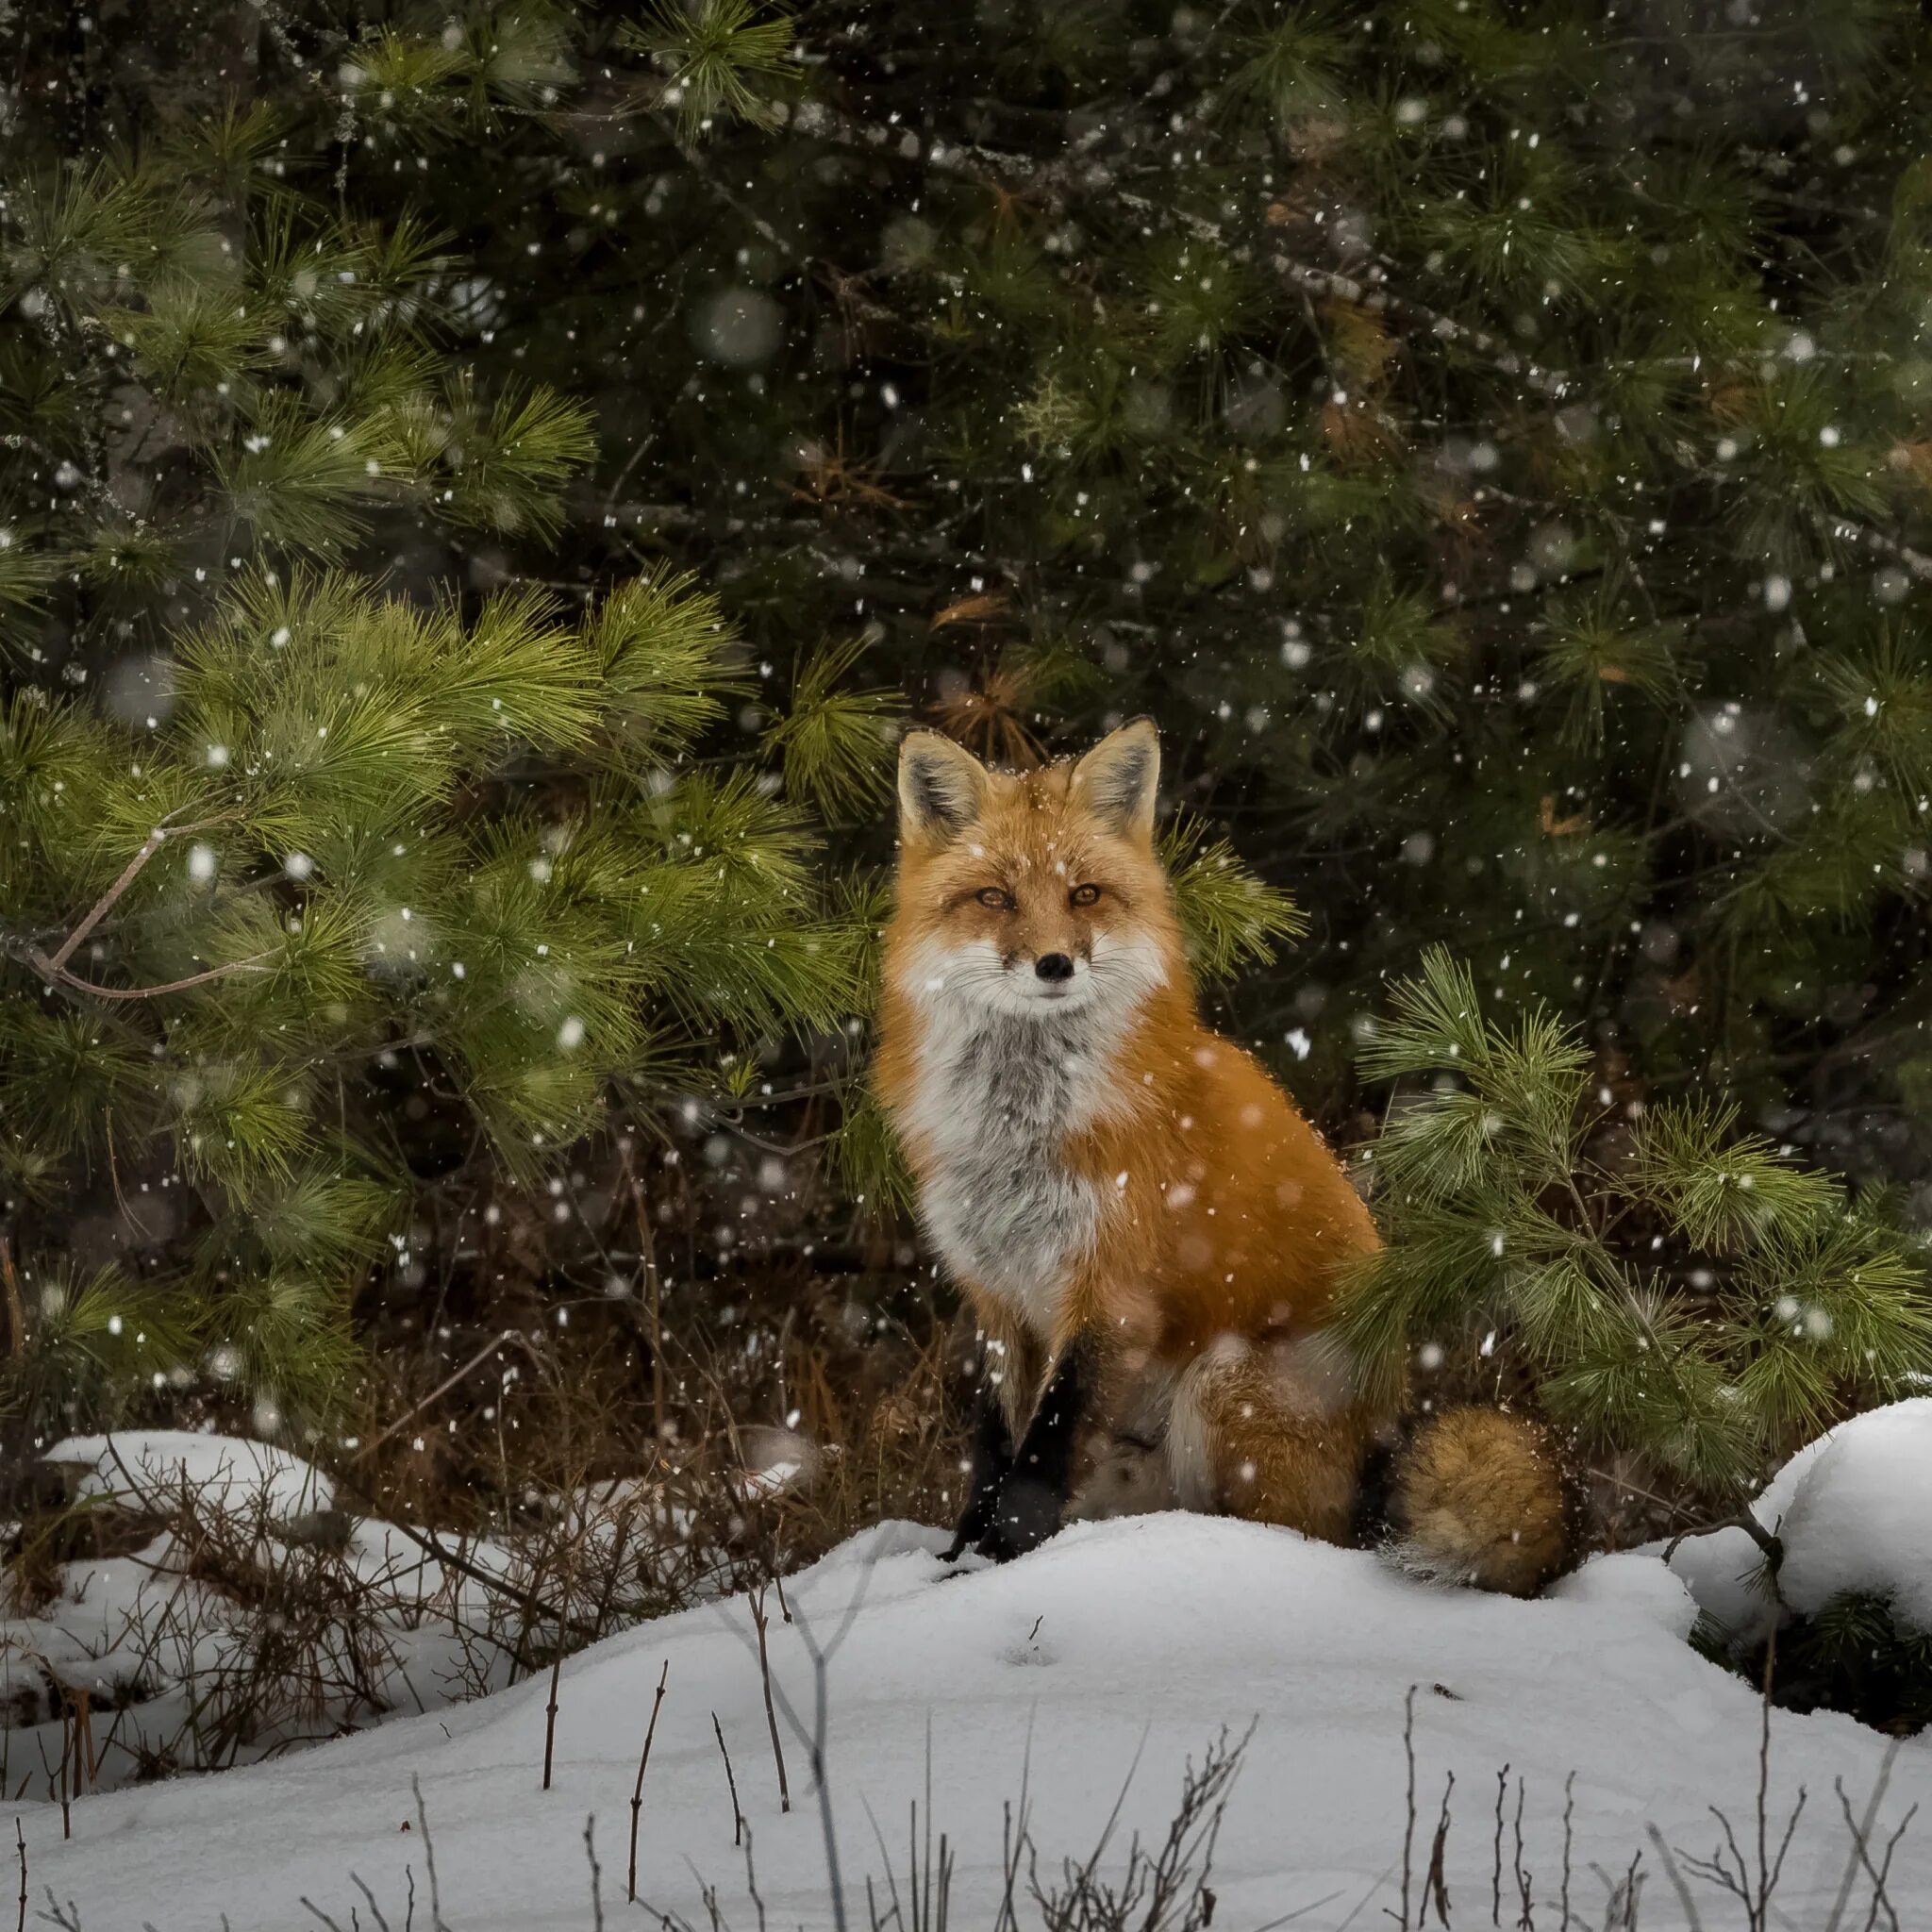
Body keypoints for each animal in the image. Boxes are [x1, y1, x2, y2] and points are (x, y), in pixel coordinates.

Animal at [876, 718, 1568, 1591]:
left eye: (1084, 895)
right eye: (994, 898)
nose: (1055, 964)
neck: (1024, 1130)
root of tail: (1388, 1432)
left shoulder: (1110, 1292)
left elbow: (1042, 1454)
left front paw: (999, 1563)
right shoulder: (998, 1297)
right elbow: (998, 1448)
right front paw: (961, 1556)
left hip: (1224, 1381)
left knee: (1304, 1539)